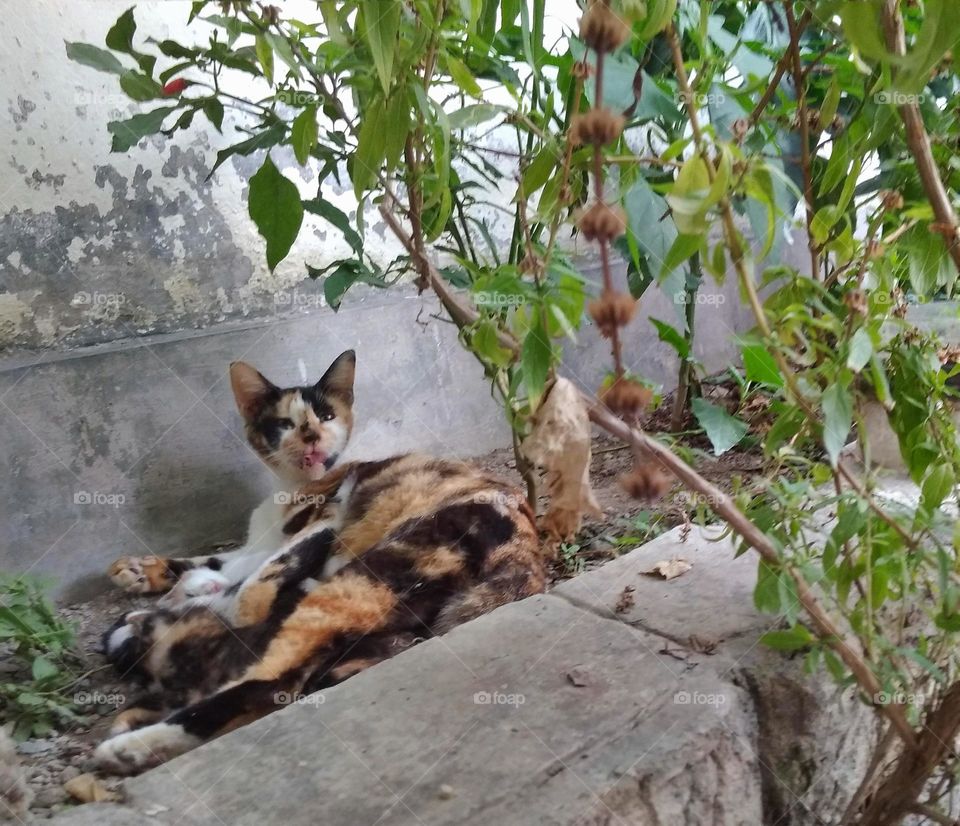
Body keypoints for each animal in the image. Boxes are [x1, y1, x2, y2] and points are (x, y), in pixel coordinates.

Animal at [98, 350, 552, 772]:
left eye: (326, 415)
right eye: (284, 423)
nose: (312, 436)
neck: (289, 490)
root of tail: (527, 554)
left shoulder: (322, 523)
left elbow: (255, 581)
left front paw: (217, 598)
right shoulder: (258, 544)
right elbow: (214, 561)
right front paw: (141, 571)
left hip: (362, 578)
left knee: (273, 680)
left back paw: (131, 747)